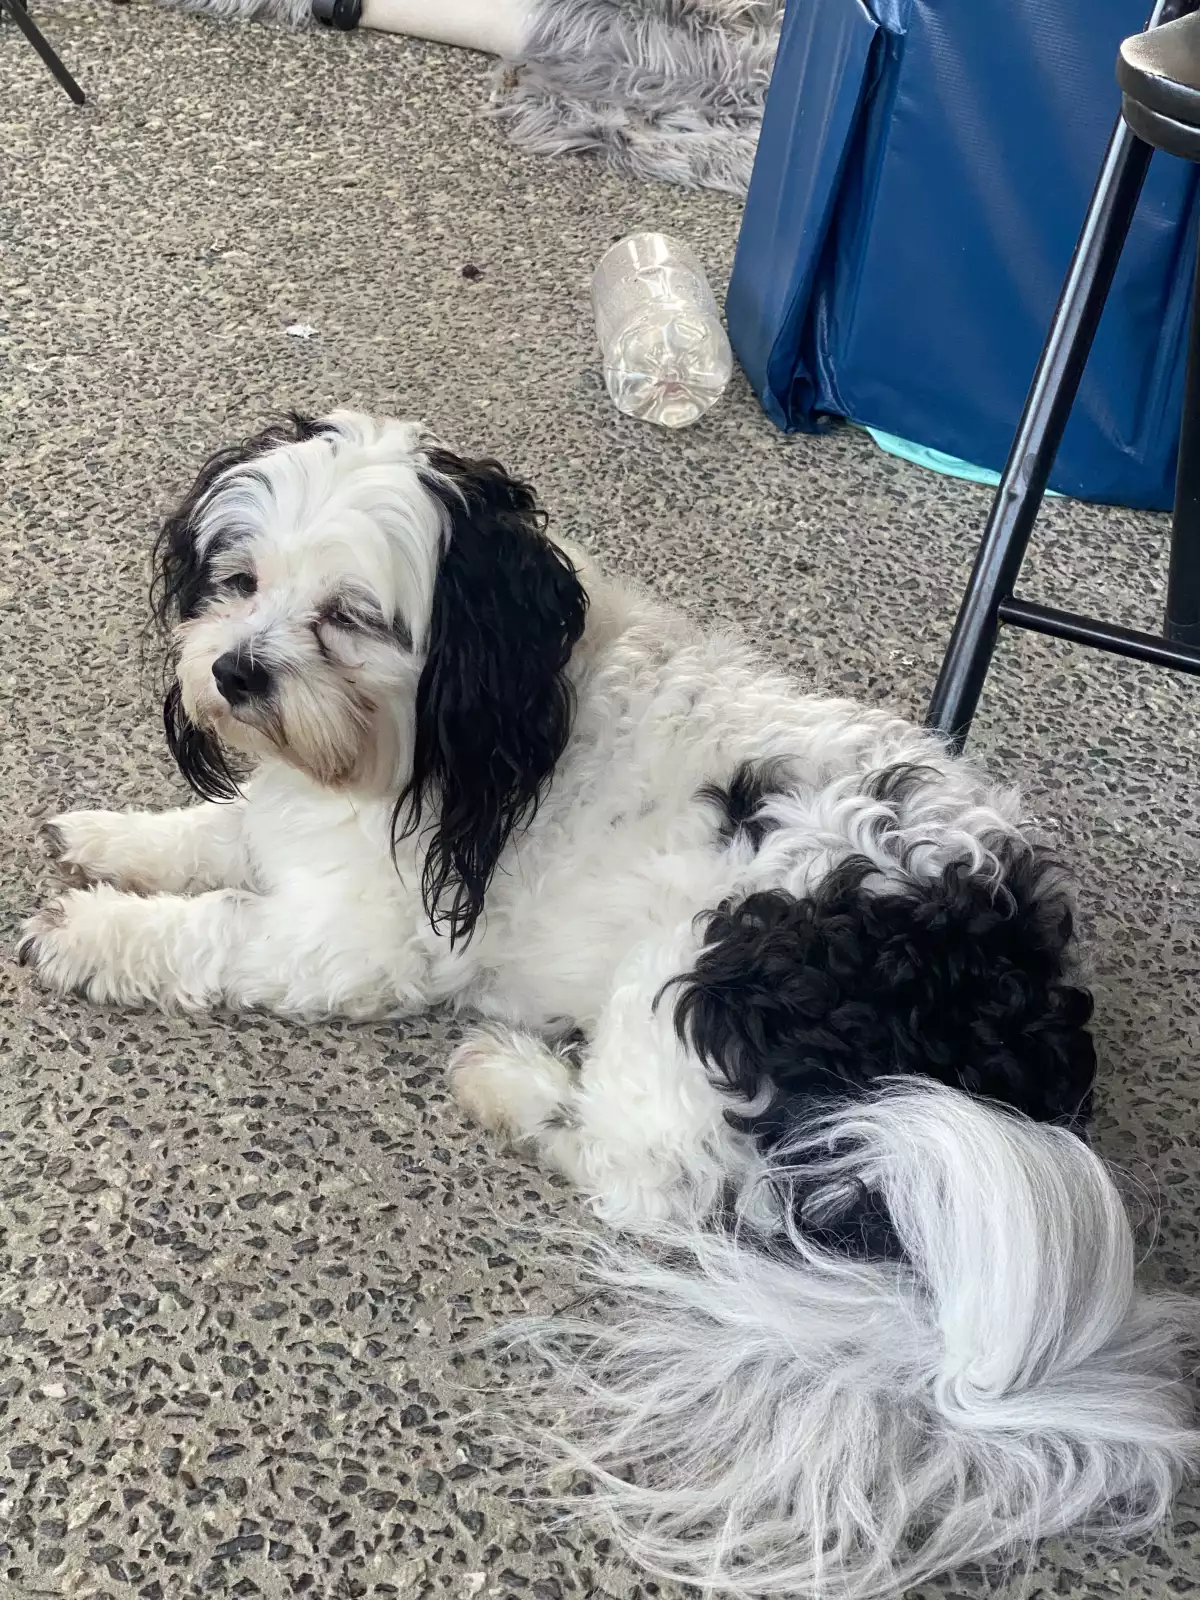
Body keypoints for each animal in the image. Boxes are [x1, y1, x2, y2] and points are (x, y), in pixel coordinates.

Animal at [20, 411, 1198, 1598]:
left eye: (349, 616)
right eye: (241, 580)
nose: (231, 667)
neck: (482, 718)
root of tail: (1010, 1037)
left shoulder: (362, 938)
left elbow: (214, 927)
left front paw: (89, 934)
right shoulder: (291, 831)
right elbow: (215, 835)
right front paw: (116, 836)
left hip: (691, 971)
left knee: (649, 1183)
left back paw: (511, 1079)